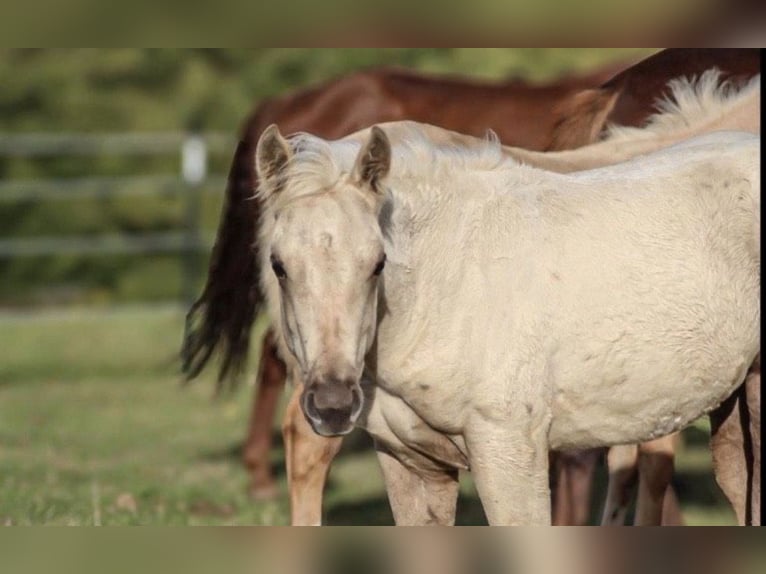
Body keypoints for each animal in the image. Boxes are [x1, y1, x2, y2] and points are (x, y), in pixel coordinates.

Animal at [182, 50, 761, 525]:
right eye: (279, 265)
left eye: (377, 263)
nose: (332, 403)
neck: (447, 288)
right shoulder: (411, 464)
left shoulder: (512, 452)